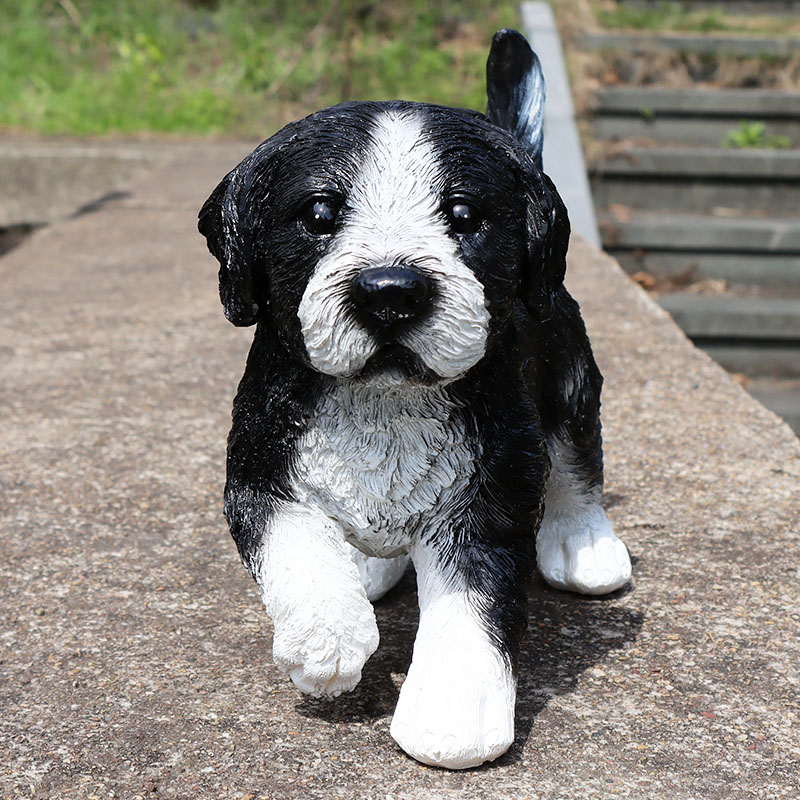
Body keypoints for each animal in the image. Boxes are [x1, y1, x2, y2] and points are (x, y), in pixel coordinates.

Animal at [198, 29, 632, 768]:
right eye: (319, 213)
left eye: (464, 215)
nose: (390, 293)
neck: (384, 401)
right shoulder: (257, 465)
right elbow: (291, 538)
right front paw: (326, 640)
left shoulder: (490, 489)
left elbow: (473, 601)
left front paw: (454, 714)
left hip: (568, 376)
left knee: (577, 459)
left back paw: (584, 544)